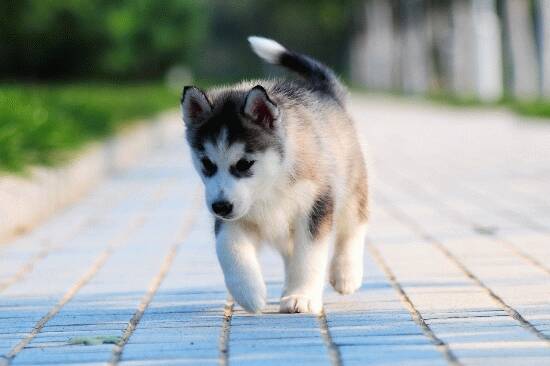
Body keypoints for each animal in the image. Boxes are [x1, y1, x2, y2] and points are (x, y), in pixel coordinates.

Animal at [182, 35, 370, 314]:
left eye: (244, 164)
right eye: (207, 164)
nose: (220, 207)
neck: (270, 185)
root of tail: (323, 91)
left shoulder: (316, 206)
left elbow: (310, 256)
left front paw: (302, 297)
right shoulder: (234, 217)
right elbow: (229, 248)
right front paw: (249, 293)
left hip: (350, 185)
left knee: (353, 226)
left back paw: (346, 274)